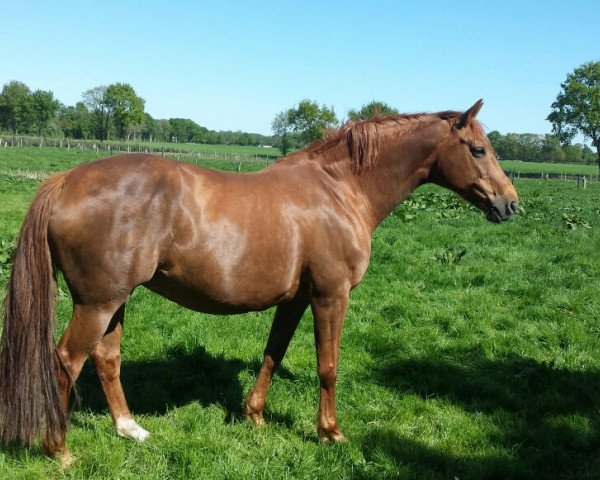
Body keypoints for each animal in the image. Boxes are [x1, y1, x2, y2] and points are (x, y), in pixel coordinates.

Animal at [0, 98, 516, 462]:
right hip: (98, 303)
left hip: (113, 300)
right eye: (478, 149)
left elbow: (273, 354)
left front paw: (255, 417)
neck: (340, 189)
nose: (509, 203)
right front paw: (330, 433)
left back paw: (129, 429)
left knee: (106, 358)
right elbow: (328, 366)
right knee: (67, 361)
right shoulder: (331, 295)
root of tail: (65, 180)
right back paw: (60, 450)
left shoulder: (295, 300)